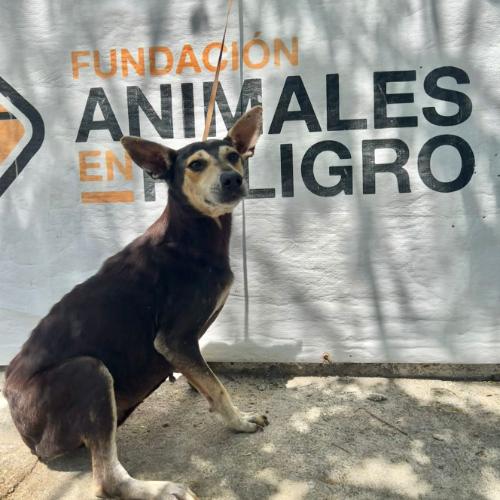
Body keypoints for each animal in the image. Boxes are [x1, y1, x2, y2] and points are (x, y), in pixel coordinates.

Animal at [4, 106, 267, 500]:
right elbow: (218, 387)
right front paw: (238, 421)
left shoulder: (184, 345)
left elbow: (206, 379)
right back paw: (162, 489)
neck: (191, 234)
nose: (233, 179)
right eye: (195, 165)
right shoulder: (173, 339)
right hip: (89, 372)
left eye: (234, 155)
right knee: (106, 480)